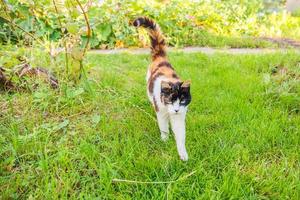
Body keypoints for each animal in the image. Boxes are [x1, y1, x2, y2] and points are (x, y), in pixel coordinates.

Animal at [132, 16, 191, 161]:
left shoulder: (180, 116)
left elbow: (180, 134)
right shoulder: (161, 111)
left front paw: (183, 154)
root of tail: (160, 56)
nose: (176, 110)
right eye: (170, 100)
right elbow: (163, 126)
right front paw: (164, 140)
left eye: (182, 101)